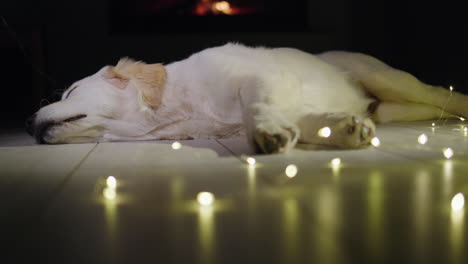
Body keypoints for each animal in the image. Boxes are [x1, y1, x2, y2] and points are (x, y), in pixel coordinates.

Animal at [26, 42, 468, 154]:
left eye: (70, 91)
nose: (29, 126)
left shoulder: (260, 80)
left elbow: (257, 106)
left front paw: (268, 132)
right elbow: (308, 121)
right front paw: (343, 129)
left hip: (385, 77)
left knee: (440, 94)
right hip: (394, 107)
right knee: (430, 106)